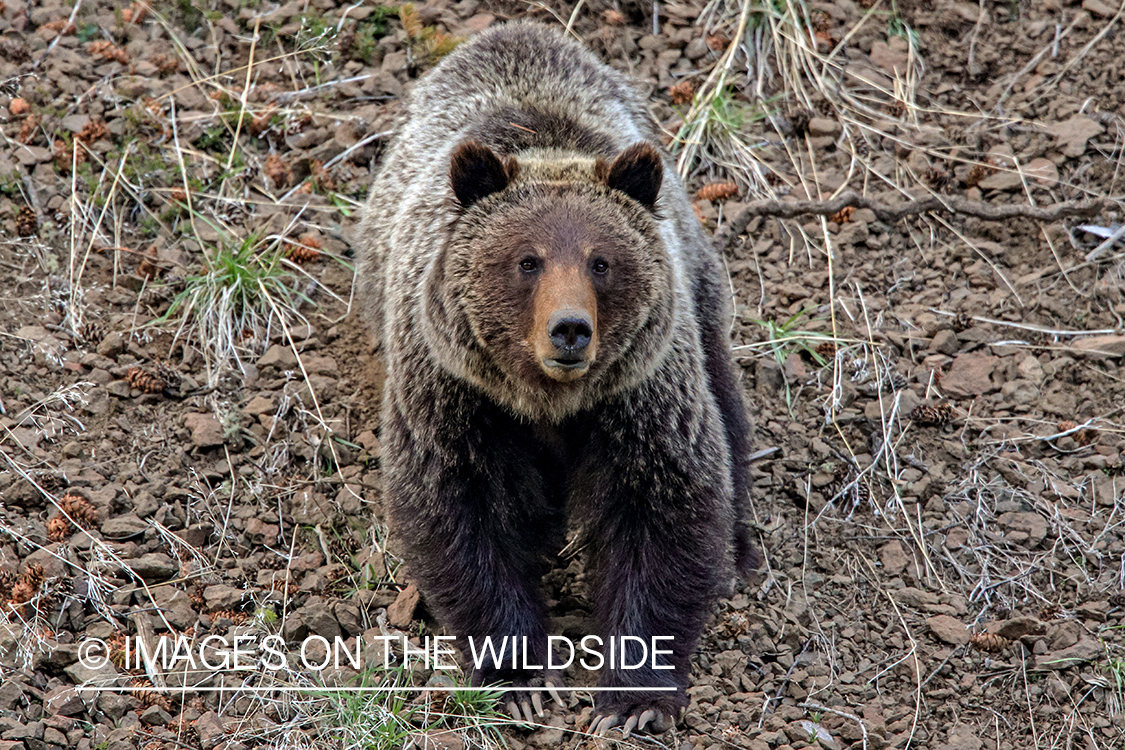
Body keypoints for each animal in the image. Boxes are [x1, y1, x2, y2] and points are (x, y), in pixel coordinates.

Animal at [353, 20, 756, 737]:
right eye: (528, 260)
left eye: (601, 261)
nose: (570, 330)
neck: (546, 399)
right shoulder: (454, 393)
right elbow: (460, 512)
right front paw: (521, 679)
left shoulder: (639, 395)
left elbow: (663, 507)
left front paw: (633, 698)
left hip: (693, 286)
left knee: (725, 402)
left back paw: (739, 556)